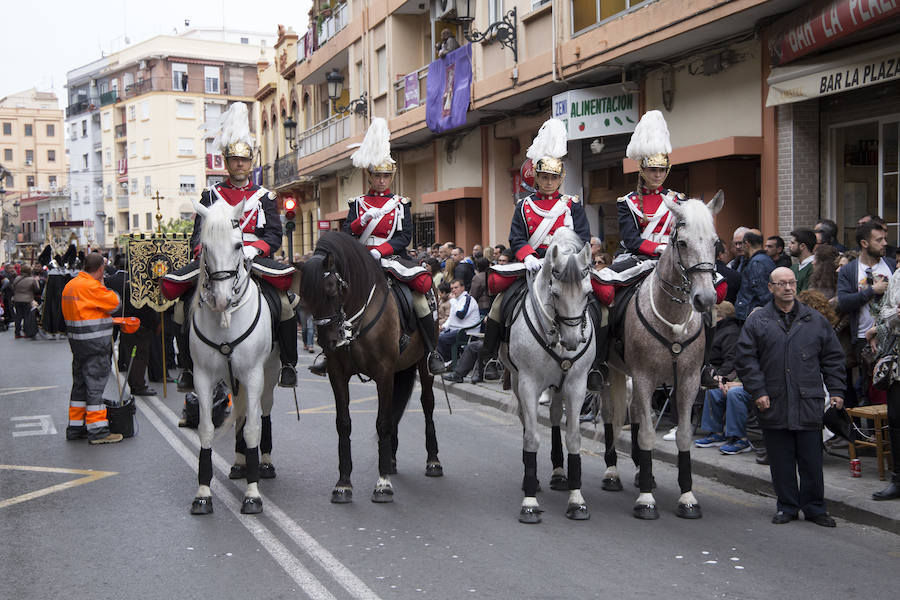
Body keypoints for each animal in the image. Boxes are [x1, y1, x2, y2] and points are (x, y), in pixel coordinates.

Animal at [186, 197, 278, 516]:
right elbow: (205, 430)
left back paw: (263, 463)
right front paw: (203, 493)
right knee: (239, 412)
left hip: (269, 375)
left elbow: (252, 429)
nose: (222, 299)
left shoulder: (253, 375)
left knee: (263, 412)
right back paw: (239, 463)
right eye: (205, 246)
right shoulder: (203, 377)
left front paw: (252, 494)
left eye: (239, 245)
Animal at [298, 232, 442, 504]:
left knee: (427, 404)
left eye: (332, 290)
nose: (328, 341)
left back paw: (433, 461)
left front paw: (382, 484)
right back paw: (392, 460)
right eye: (306, 299)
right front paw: (343, 484)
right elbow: (344, 423)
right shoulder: (338, 375)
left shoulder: (383, 373)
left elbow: (382, 422)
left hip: (422, 363)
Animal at [500, 227, 596, 524]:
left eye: (588, 293)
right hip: (518, 382)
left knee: (554, 416)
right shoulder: (529, 384)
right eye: (555, 293)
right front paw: (529, 502)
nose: (573, 340)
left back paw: (558, 473)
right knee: (525, 420)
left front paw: (577, 500)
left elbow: (573, 438)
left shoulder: (576, 385)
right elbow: (531, 437)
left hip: (558, 385)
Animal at [604, 192, 724, 520]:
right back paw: (612, 473)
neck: (673, 320)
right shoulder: (645, 376)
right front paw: (646, 500)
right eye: (681, 242)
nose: (705, 299)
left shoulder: (688, 380)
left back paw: (640, 472)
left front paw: (687, 497)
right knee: (611, 416)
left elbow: (683, 435)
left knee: (631, 412)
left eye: (716, 243)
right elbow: (646, 433)